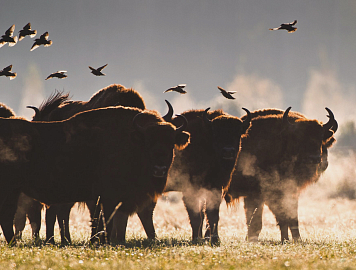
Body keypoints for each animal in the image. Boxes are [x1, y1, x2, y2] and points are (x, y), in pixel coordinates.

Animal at [0, 104, 189, 245]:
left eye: (171, 143)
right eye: (148, 141)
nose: (159, 169)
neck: (130, 141)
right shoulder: (108, 198)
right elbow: (105, 222)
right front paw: (102, 242)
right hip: (10, 190)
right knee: (8, 217)